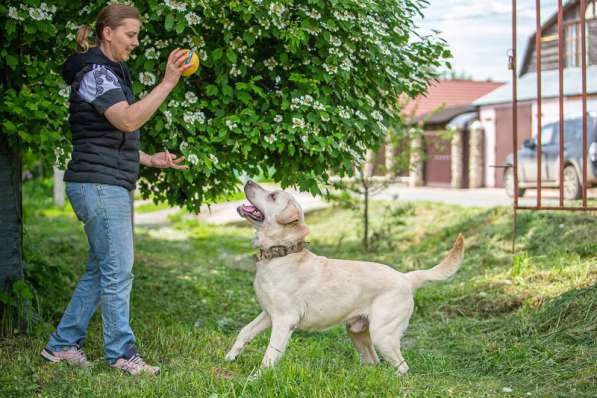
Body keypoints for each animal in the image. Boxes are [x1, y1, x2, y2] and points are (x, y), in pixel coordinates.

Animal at [226, 181, 464, 376]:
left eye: (273, 196)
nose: (248, 180)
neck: (282, 253)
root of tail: (405, 277)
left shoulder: (285, 320)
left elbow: (270, 354)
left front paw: (257, 378)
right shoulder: (268, 314)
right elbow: (244, 332)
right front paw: (230, 356)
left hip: (382, 334)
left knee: (402, 367)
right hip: (357, 332)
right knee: (374, 361)